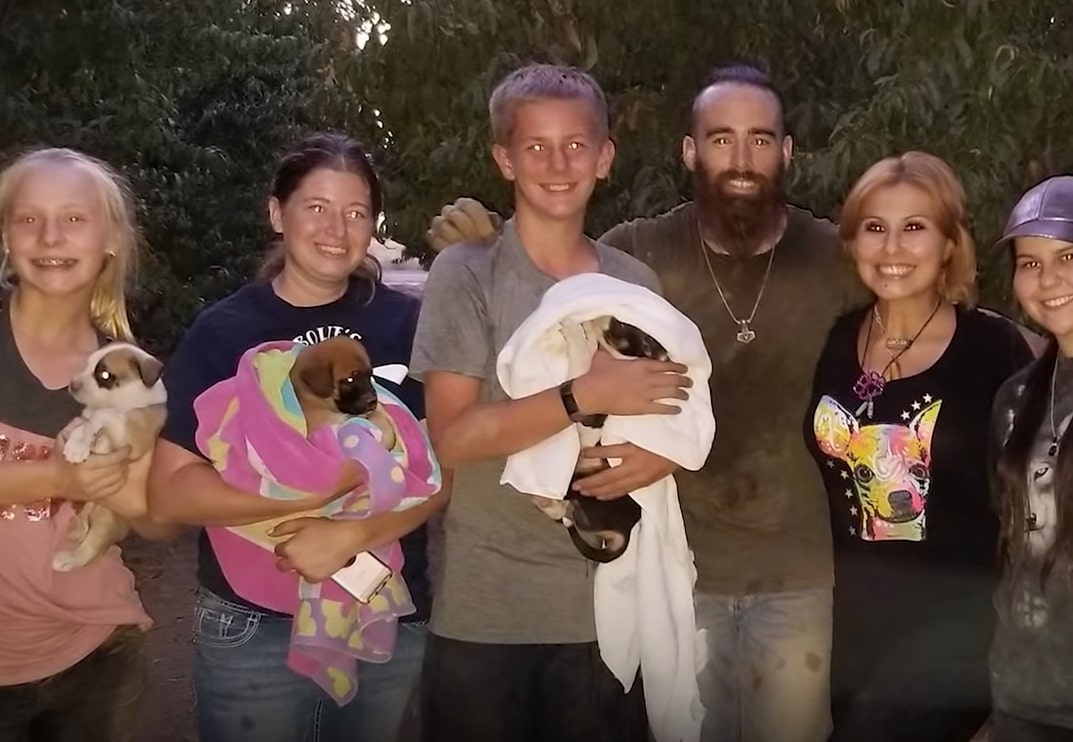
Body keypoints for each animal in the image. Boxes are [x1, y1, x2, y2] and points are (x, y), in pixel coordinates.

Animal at [55, 340, 166, 574]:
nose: (72, 384)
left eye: (104, 375)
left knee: (91, 547)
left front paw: (78, 446)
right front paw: (75, 440)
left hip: (107, 520)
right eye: (87, 364)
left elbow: (102, 415)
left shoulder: (133, 437)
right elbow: (82, 421)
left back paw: (67, 559)